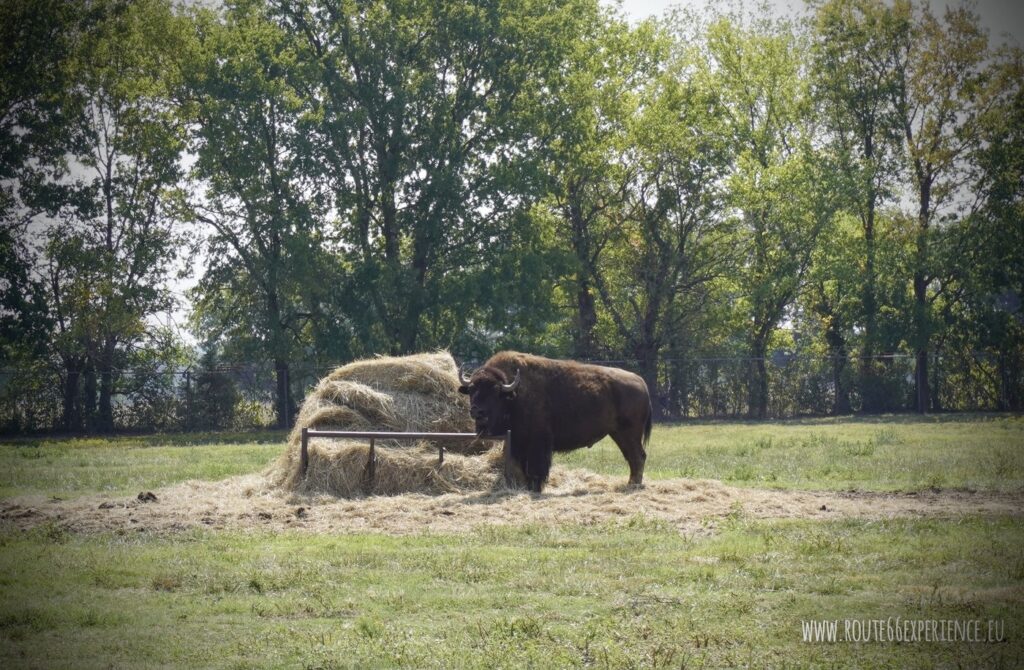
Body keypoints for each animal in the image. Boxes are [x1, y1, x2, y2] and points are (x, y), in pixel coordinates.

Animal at [460, 352, 651, 493]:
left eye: (494, 390)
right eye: (472, 389)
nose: (477, 411)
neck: (514, 394)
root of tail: (641, 382)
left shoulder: (538, 442)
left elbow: (536, 467)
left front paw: (536, 488)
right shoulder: (516, 442)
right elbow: (520, 467)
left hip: (629, 433)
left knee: (638, 456)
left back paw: (633, 485)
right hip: (618, 433)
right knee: (633, 457)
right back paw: (631, 484)